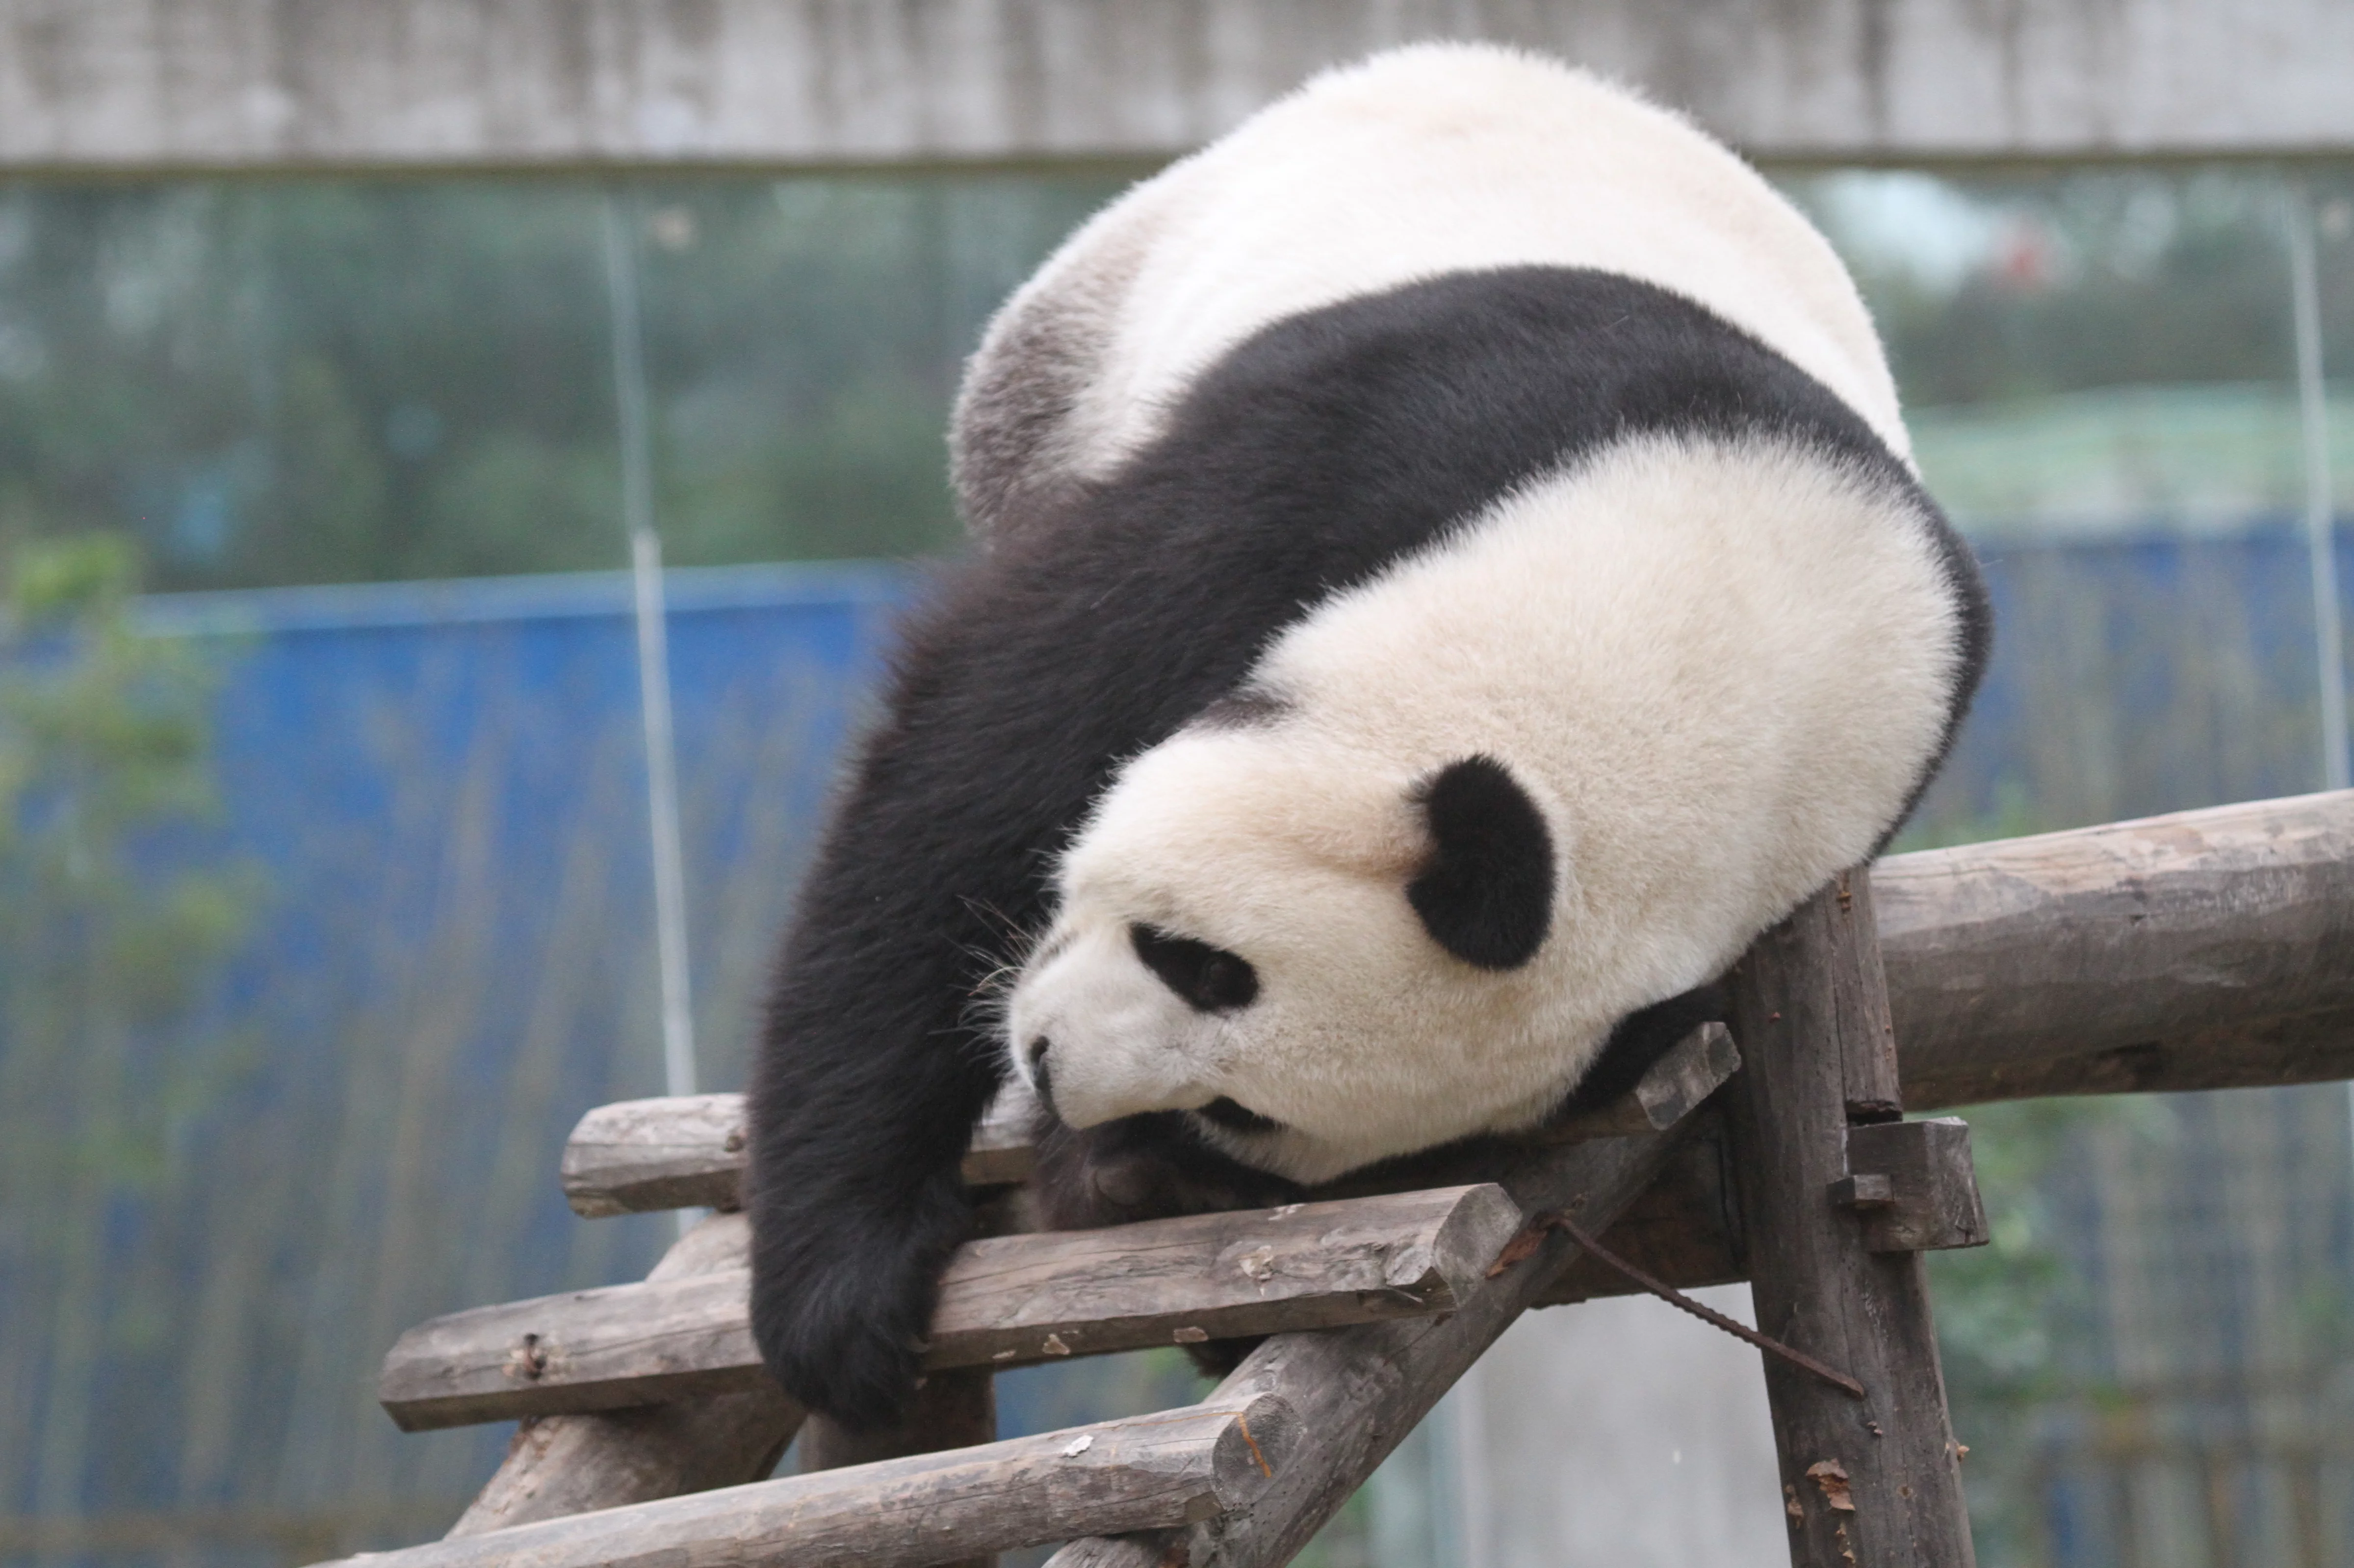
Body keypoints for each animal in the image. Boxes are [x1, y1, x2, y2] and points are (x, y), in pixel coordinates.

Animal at [747, 42, 1990, 1433]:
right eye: (1196, 957)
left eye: (1238, 1104)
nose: (1051, 1063)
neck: (1724, 620)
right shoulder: (1368, 450)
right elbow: (977, 766)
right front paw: (843, 1292)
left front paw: (1137, 1180)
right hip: (1070, 359)